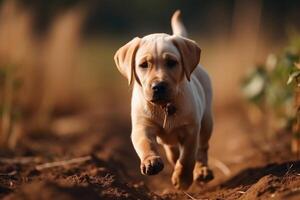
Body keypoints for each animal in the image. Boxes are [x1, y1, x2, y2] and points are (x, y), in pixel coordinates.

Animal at [113, 10, 213, 190]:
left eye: (172, 62)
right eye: (143, 65)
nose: (158, 86)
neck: (164, 106)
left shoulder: (191, 130)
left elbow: (187, 157)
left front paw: (183, 179)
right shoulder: (142, 126)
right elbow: (145, 144)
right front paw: (151, 161)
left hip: (207, 122)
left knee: (202, 149)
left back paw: (202, 171)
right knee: (173, 152)